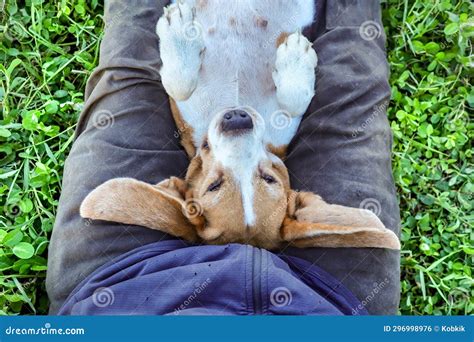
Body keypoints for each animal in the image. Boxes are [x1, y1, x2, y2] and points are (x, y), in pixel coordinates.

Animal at [80, 0, 400, 251]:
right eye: (213, 185)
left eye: (269, 178)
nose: (237, 120)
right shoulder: (184, 111)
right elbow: (179, 84)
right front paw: (180, 33)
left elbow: (295, 101)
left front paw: (296, 59)